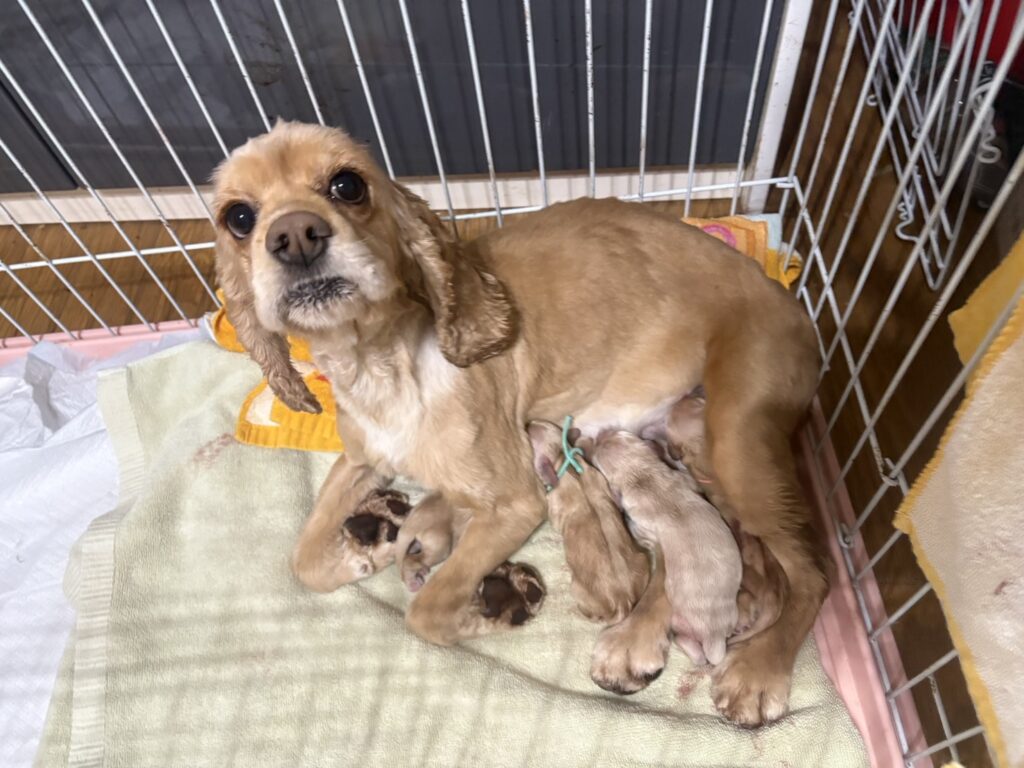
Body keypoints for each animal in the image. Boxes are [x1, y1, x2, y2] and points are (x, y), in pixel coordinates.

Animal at [527, 420, 648, 624]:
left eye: (529, 433)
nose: (527, 422)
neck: (563, 456)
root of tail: (622, 604)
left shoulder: (554, 508)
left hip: (577, 589)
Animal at [591, 430, 741, 666]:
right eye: (621, 434)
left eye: (597, 456)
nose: (601, 434)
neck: (644, 476)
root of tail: (713, 634)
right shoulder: (683, 479)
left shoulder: (641, 519)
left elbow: (638, 529)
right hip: (731, 615)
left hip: (680, 618)